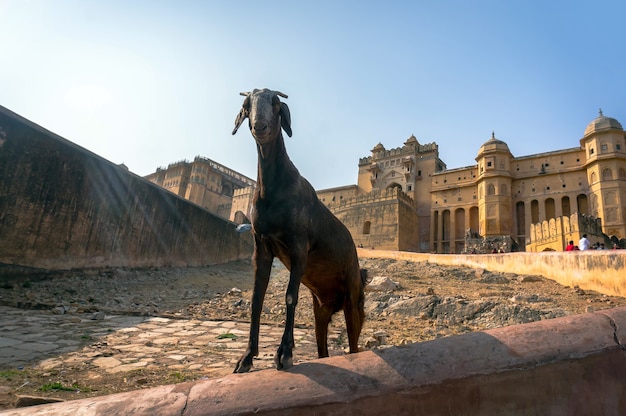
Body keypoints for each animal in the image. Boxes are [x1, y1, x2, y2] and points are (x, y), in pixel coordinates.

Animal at [230, 88, 366, 374]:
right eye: (247, 105)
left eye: (276, 102)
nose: (260, 126)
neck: (274, 191)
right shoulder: (262, 245)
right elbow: (257, 299)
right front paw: (246, 357)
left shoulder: (299, 246)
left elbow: (290, 296)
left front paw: (284, 353)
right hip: (321, 310)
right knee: (323, 349)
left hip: (353, 299)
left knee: (354, 343)